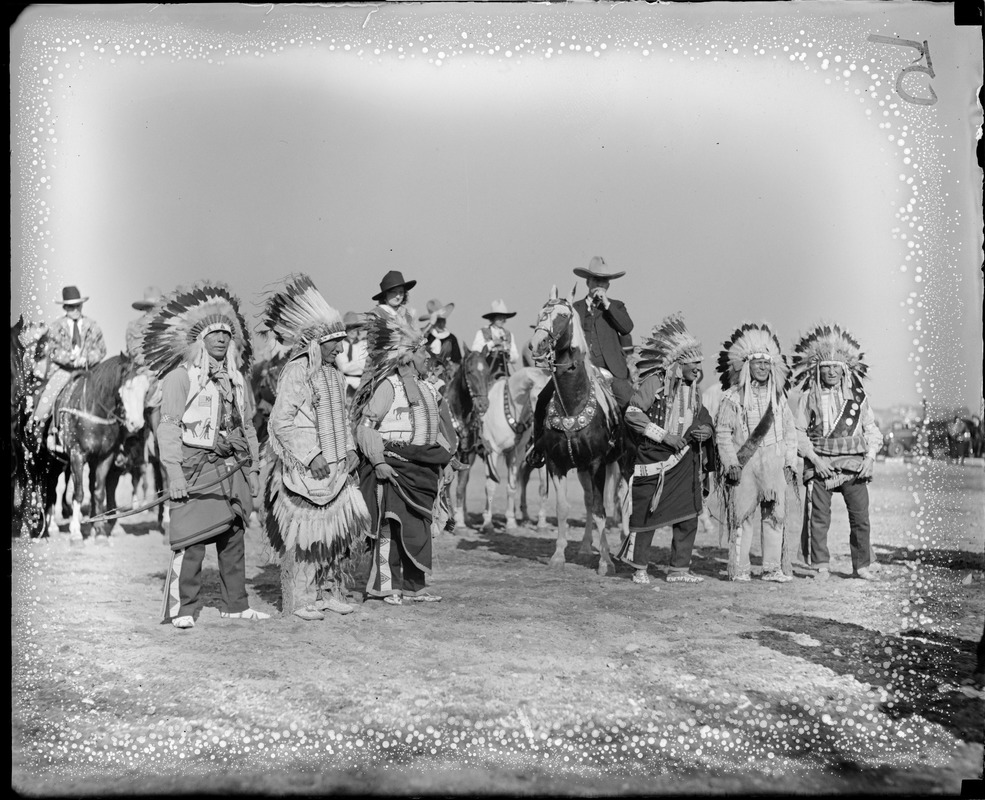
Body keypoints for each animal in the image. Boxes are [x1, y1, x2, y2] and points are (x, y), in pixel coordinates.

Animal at [35, 354, 144, 544]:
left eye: (145, 390)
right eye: (127, 388)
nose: (136, 424)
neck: (93, 412)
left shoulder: (105, 457)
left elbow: (99, 493)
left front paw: (99, 531)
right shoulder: (77, 455)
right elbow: (79, 493)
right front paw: (76, 533)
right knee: (51, 488)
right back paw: (51, 526)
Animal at [532, 288, 632, 576]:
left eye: (563, 316)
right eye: (541, 312)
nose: (537, 344)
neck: (572, 403)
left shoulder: (598, 463)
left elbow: (601, 510)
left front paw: (606, 562)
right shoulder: (557, 464)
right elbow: (564, 508)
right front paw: (558, 556)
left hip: (624, 463)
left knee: (624, 498)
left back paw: (624, 542)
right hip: (583, 469)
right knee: (589, 500)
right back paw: (587, 546)